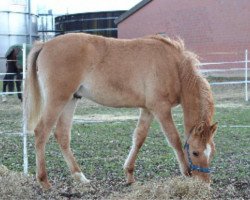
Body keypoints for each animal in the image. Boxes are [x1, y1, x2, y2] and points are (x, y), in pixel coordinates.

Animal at [24, 32, 218, 189]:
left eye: (211, 152)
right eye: (195, 152)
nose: (205, 183)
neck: (175, 67)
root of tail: (45, 44)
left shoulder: (148, 110)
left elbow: (139, 138)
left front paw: (129, 175)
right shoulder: (161, 109)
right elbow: (174, 139)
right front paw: (185, 172)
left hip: (71, 99)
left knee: (62, 135)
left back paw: (81, 177)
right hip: (57, 100)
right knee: (41, 132)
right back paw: (44, 182)